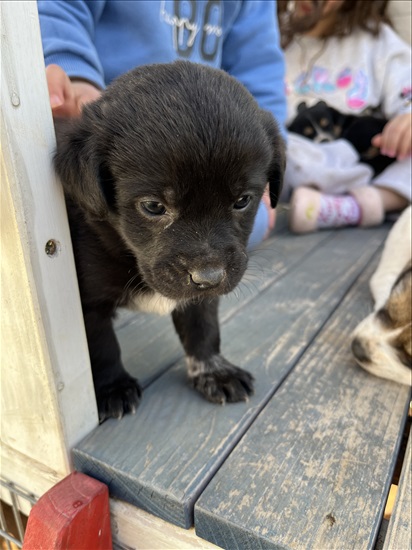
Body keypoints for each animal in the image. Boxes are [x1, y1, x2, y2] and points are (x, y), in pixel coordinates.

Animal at [54, 60, 284, 422]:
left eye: (243, 201)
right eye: (153, 206)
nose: (209, 277)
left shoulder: (203, 296)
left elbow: (203, 328)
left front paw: (214, 372)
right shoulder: (87, 304)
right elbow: (102, 347)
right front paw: (113, 387)